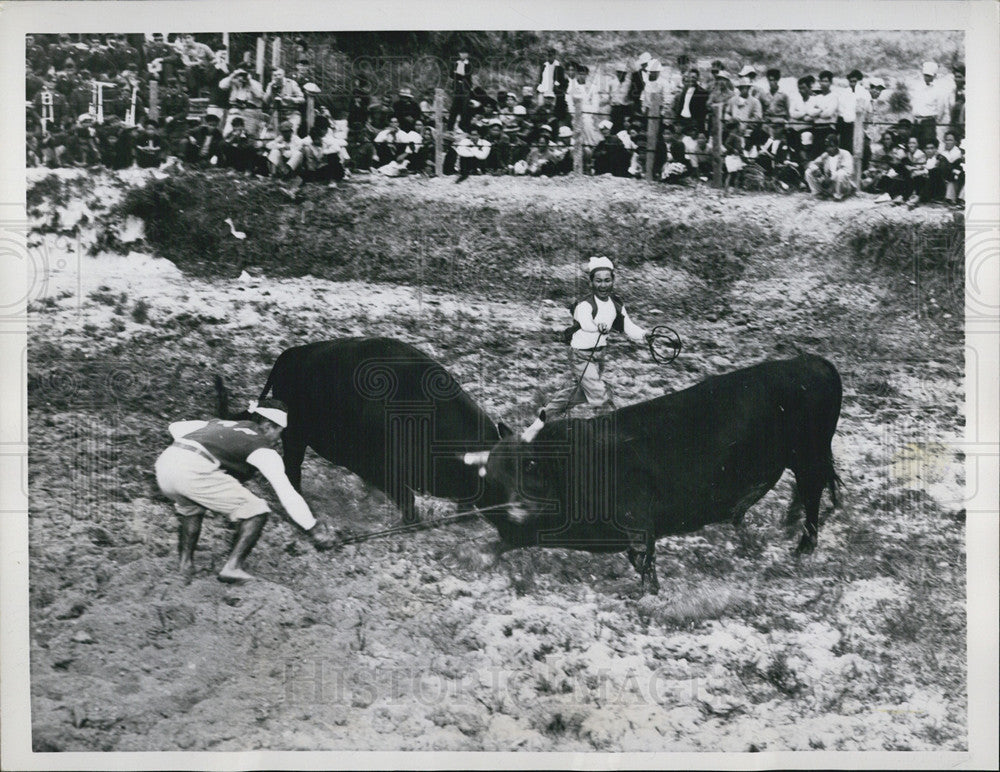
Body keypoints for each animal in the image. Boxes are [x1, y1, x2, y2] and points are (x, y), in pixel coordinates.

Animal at [464, 352, 840, 596]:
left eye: (529, 466)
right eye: (492, 477)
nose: (514, 509)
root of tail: (811, 362)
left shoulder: (637, 520)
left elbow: (642, 558)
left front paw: (650, 592)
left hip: (809, 456)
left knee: (813, 493)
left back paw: (803, 546)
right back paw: (789, 524)